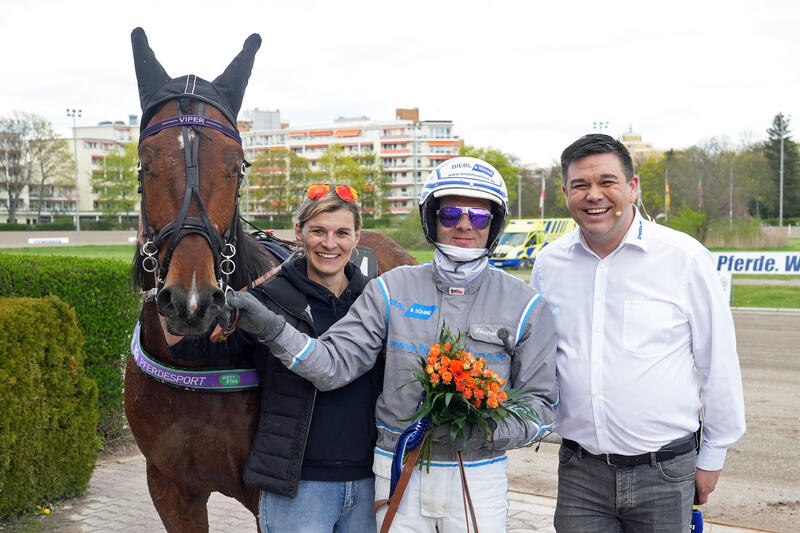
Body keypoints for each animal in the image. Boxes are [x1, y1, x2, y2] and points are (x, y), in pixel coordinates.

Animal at [125, 30, 418, 532]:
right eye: (147, 161)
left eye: (236, 163)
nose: (191, 301)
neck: (195, 360)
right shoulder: (169, 486)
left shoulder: (266, 498)